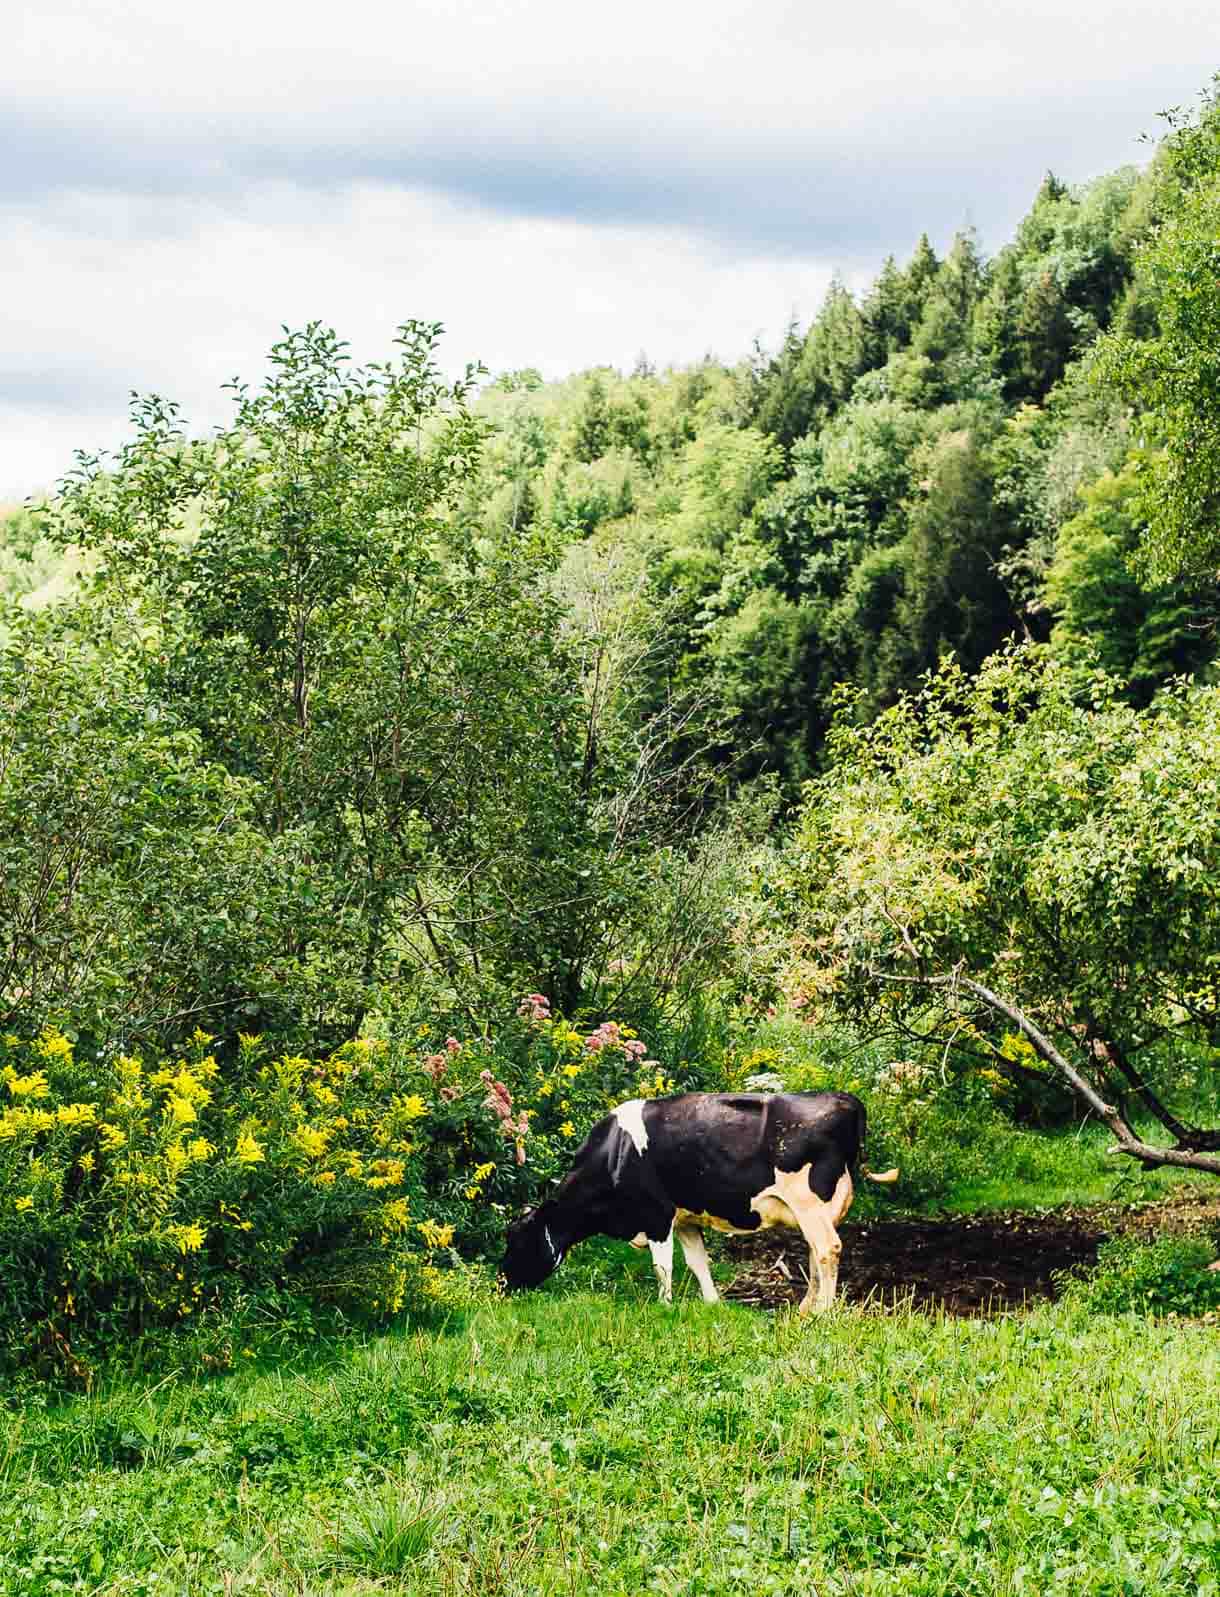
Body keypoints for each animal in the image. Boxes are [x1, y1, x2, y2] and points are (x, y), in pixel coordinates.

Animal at [498, 1092, 894, 1315]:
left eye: (515, 1240)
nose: (501, 1285)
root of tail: (847, 1100)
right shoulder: (685, 1218)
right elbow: (697, 1262)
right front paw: (712, 1303)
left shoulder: (656, 1215)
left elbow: (663, 1266)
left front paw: (665, 1306)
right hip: (816, 1209)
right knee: (816, 1251)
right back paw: (807, 1307)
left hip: (808, 1200)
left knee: (827, 1249)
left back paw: (821, 1313)